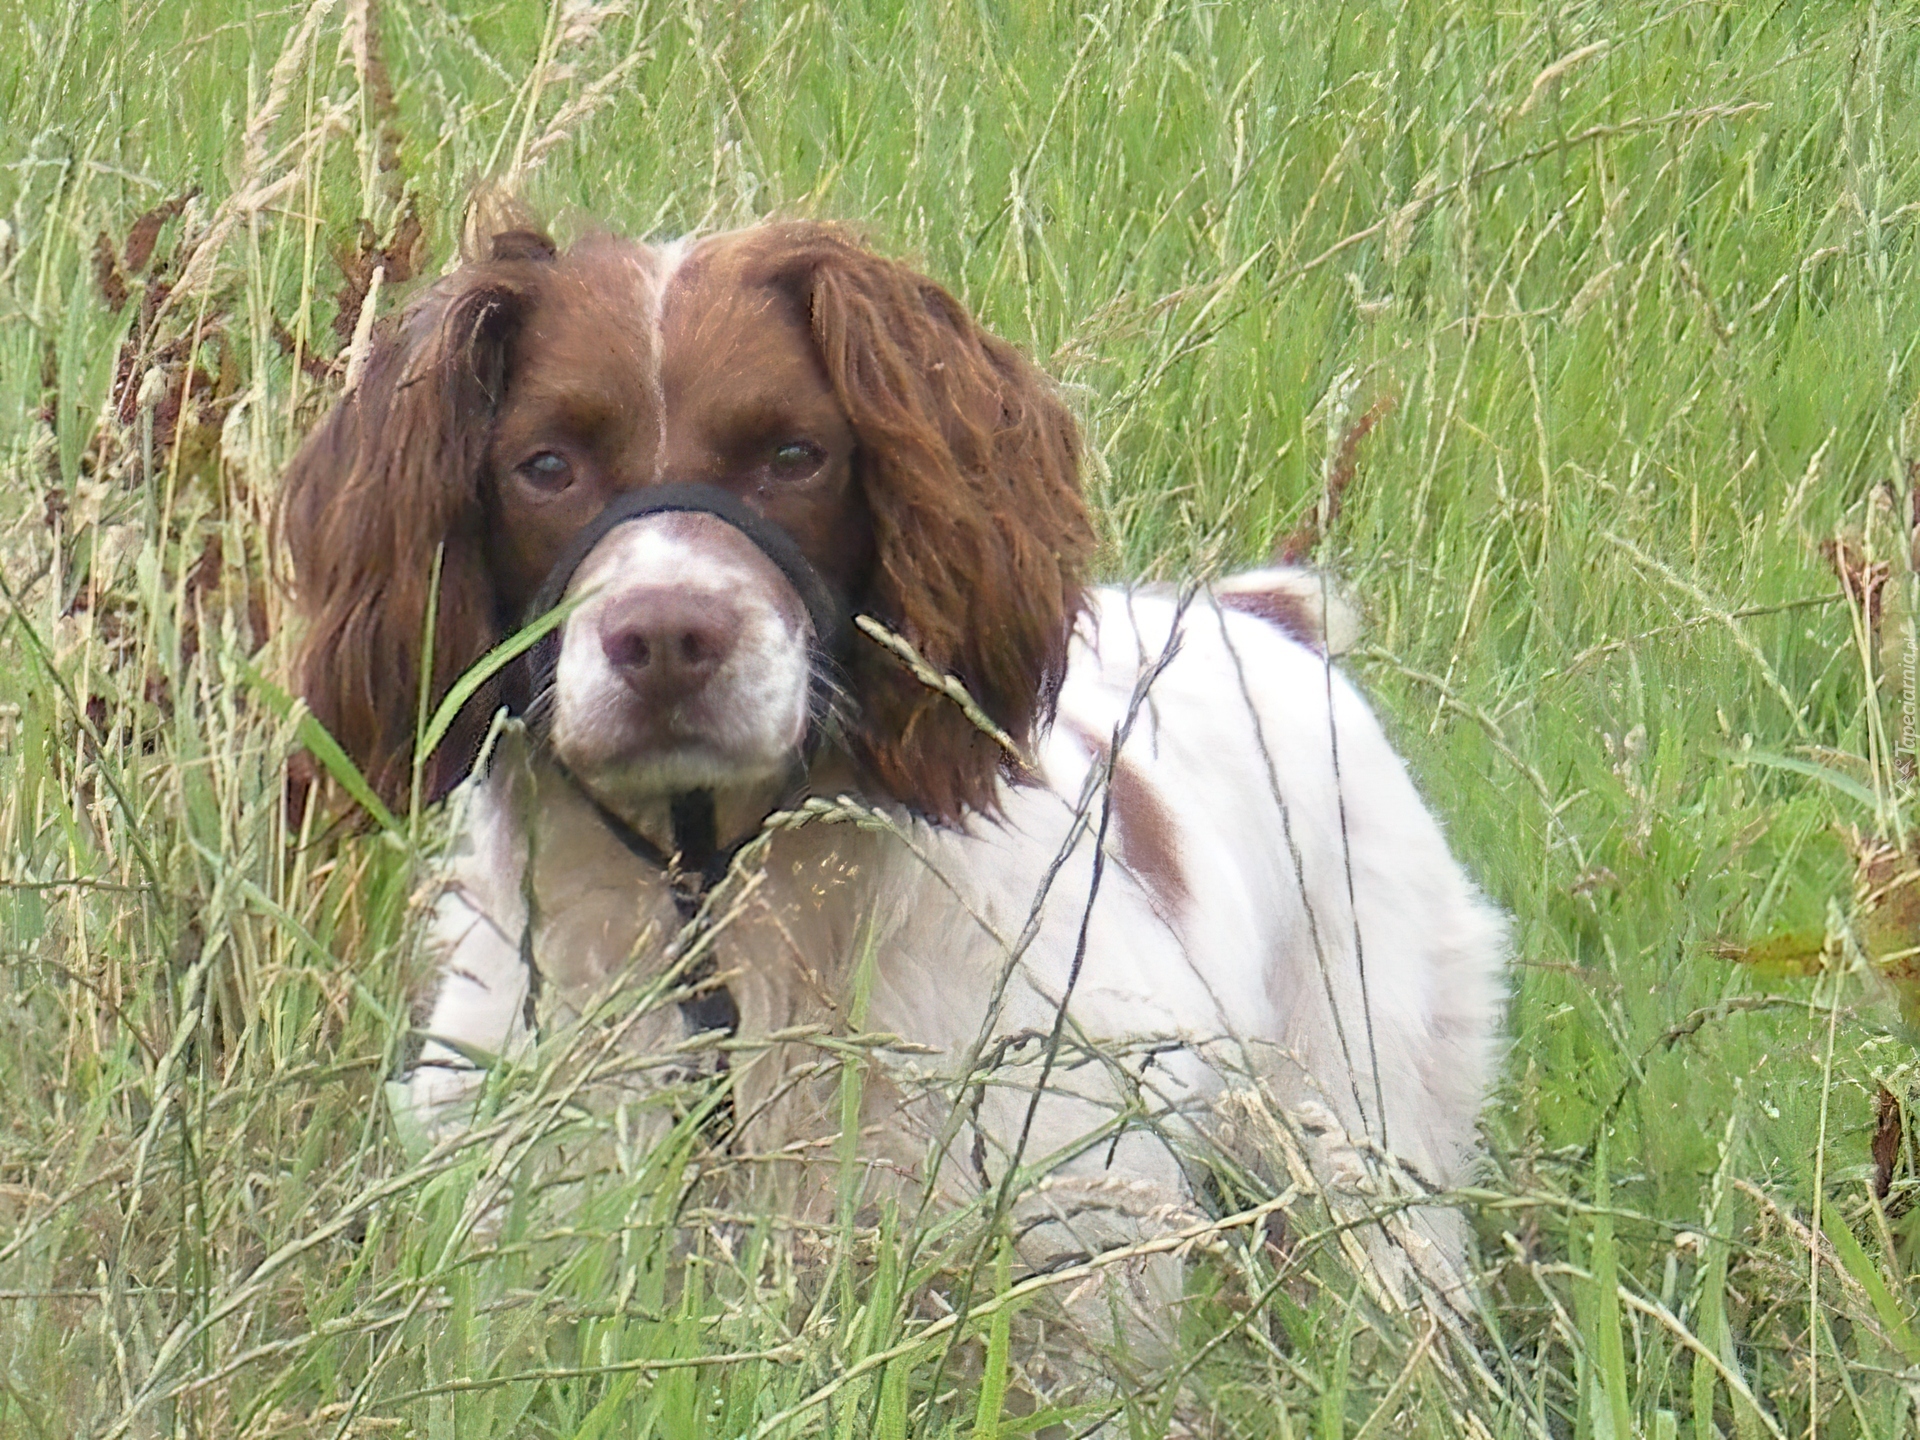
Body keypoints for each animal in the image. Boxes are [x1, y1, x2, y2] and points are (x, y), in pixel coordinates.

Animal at [284, 214, 1505, 1351]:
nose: (669, 637)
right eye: (546, 465)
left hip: (1365, 1132)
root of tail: (1262, 617)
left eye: (794, 454)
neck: (726, 910)